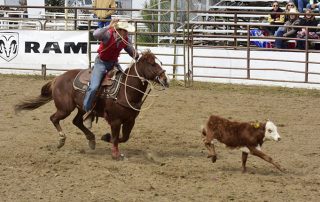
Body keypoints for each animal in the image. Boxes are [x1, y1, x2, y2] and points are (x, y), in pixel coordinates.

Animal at [14, 49, 170, 159]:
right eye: (151, 64)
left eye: (159, 62)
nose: (165, 79)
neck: (125, 89)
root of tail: (57, 78)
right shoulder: (115, 120)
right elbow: (115, 138)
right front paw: (115, 154)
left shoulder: (130, 121)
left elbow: (124, 138)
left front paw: (105, 138)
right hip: (65, 108)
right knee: (54, 118)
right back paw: (61, 140)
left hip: (82, 108)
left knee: (77, 121)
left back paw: (91, 139)